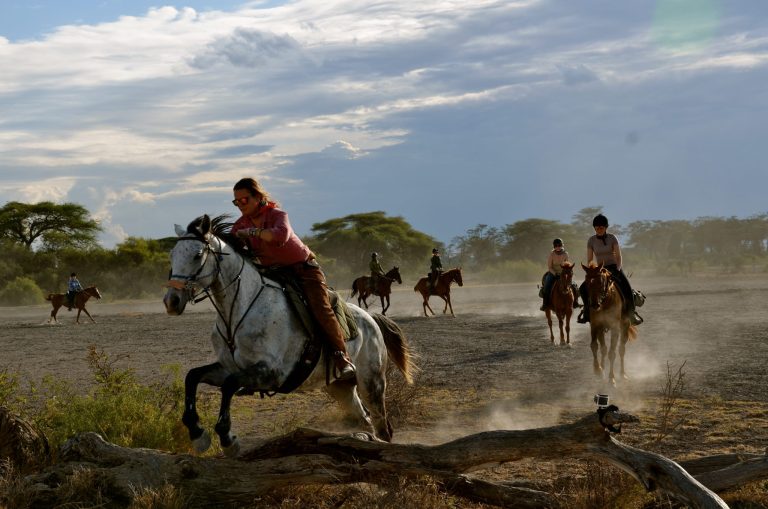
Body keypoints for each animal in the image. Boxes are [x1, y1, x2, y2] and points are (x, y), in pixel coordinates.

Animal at [163, 215, 415, 456]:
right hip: (340, 388)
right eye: (172, 255)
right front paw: (198, 434)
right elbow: (193, 377)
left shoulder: (271, 373)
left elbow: (229, 385)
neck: (238, 310)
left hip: (372, 383)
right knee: (365, 421)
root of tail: (371, 319)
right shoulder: (229, 367)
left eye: (197, 255)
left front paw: (228, 439)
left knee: (382, 426)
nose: (171, 301)